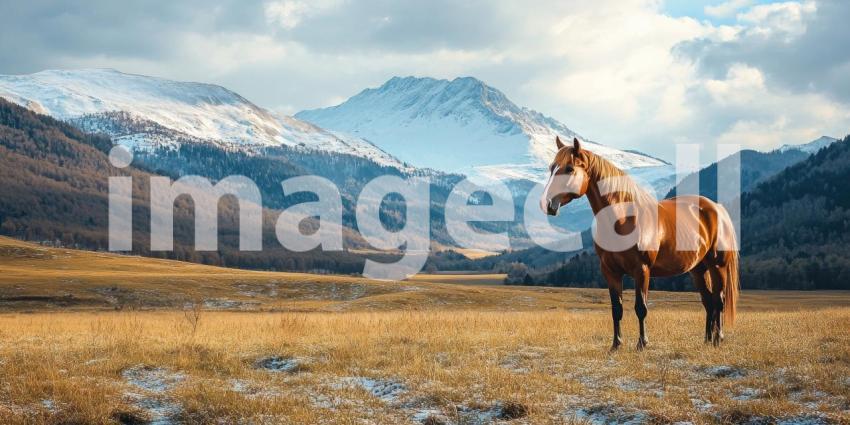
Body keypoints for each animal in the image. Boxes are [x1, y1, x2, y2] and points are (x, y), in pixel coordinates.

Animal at [541, 136, 739, 350]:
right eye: (551, 167)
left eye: (569, 168)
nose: (547, 203)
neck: (623, 219)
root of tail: (717, 209)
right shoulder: (610, 271)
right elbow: (616, 309)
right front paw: (616, 345)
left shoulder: (642, 269)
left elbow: (640, 308)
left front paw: (642, 344)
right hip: (698, 269)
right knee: (708, 301)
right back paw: (707, 340)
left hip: (717, 266)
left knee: (719, 301)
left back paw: (718, 339)